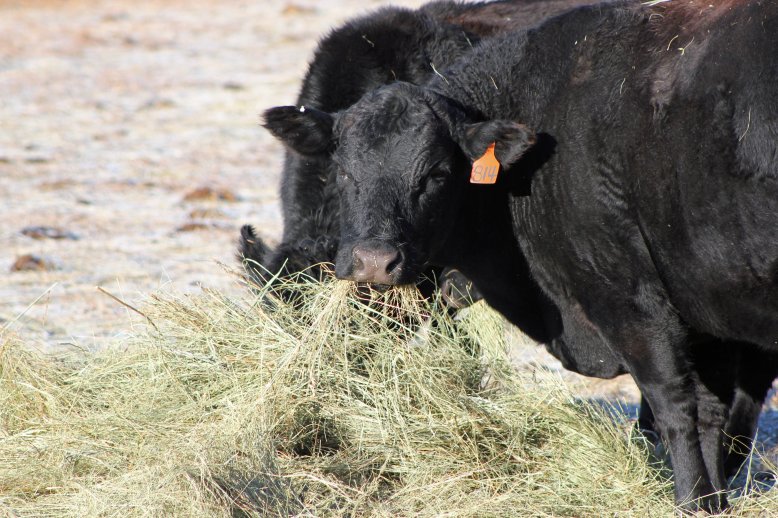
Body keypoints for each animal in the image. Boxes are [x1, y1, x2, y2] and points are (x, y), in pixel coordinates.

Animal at [260, 0, 776, 512]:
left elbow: (674, 404)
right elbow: (709, 411)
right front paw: (713, 500)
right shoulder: (702, 310)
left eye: (437, 173)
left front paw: (691, 501)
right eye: (344, 170)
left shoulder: (628, 295)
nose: (373, 260)